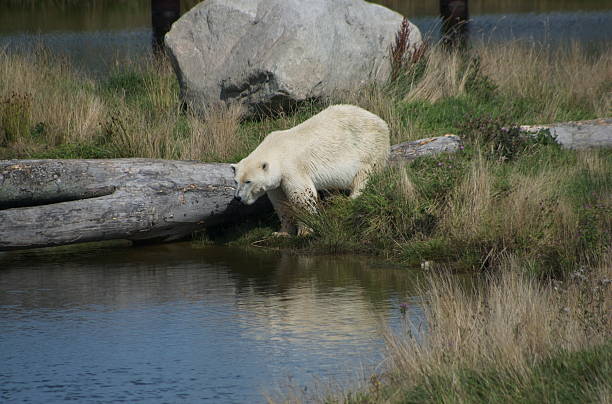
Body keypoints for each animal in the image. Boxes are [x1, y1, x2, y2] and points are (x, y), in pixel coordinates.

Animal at [232, 105, 390, 237]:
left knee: (363, 176)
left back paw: (351, 199)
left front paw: (305, 231)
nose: (238, 198)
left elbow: (302, 198)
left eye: (248, 181)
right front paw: (281, 233)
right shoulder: (277, 183)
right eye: (236, 181)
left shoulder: (292, 168)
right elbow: (281, 203)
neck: (276, 148)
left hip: (368, 148)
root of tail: (382, 122)